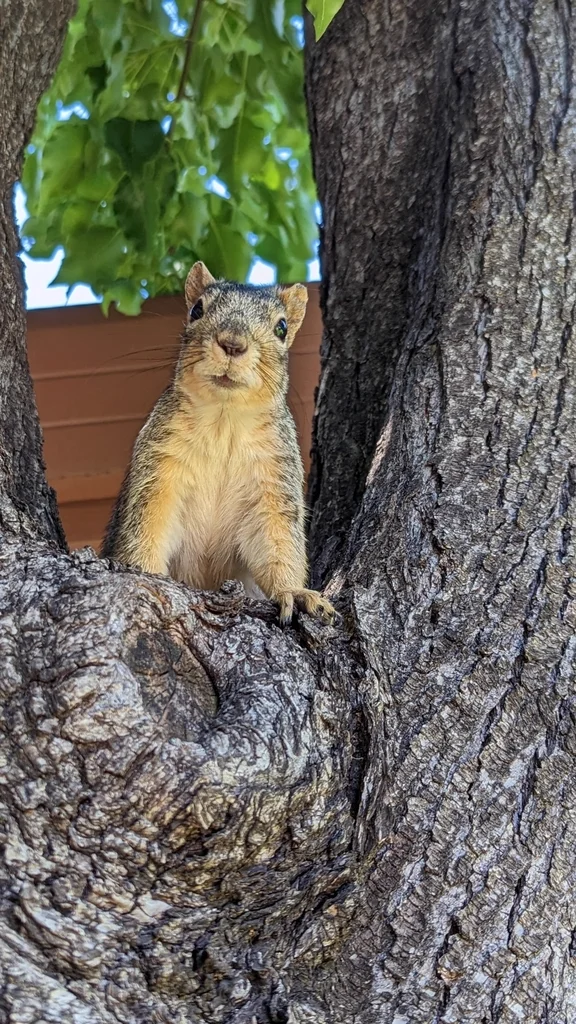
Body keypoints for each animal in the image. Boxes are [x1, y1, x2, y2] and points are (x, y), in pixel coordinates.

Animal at [101, 261, 335, 626]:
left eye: (282, 327)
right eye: (196, 309)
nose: (232, 344)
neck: (225, 422)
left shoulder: (274, 478)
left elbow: (277, 543)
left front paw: (294, 593)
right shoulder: (159, 467)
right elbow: (148, 526)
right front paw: (142, 571)